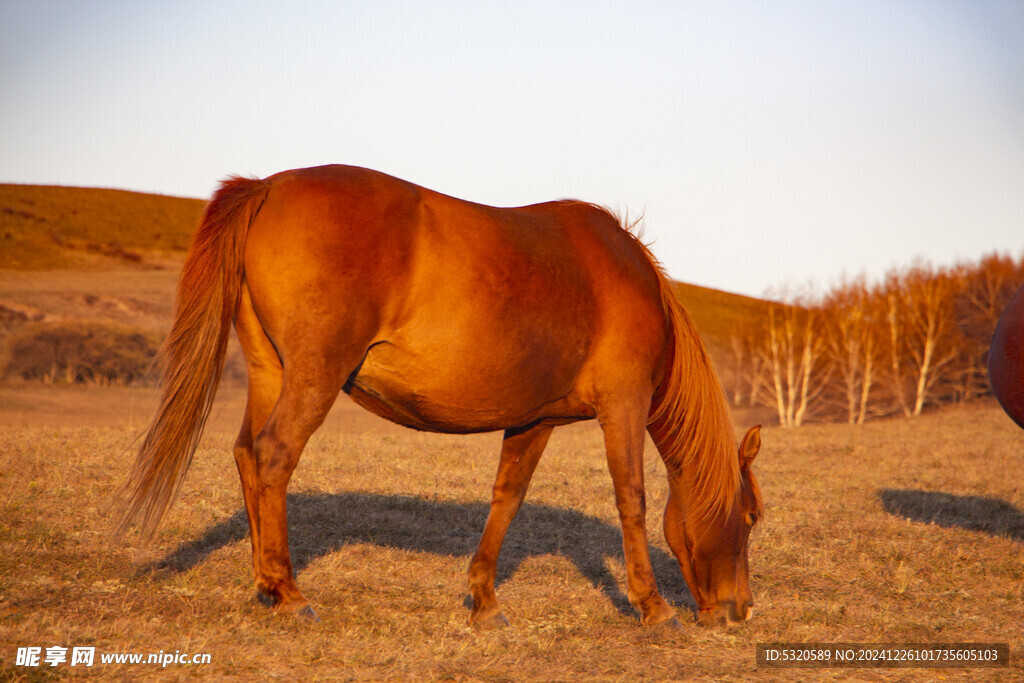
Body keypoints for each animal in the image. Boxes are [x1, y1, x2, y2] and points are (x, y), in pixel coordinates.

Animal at [117, 165, 761, 630]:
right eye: (752, 517)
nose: (740, 611)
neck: (622, 277)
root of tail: (268, 187)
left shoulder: (535, 420)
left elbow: (507, 499)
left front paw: (485, 601)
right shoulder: (623, 407)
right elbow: (632, 498)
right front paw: (653, 607)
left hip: (271, 371)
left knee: (248, 455)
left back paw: (266, 589)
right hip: (312, 377)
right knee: (274, 454)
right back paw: (292, 593)